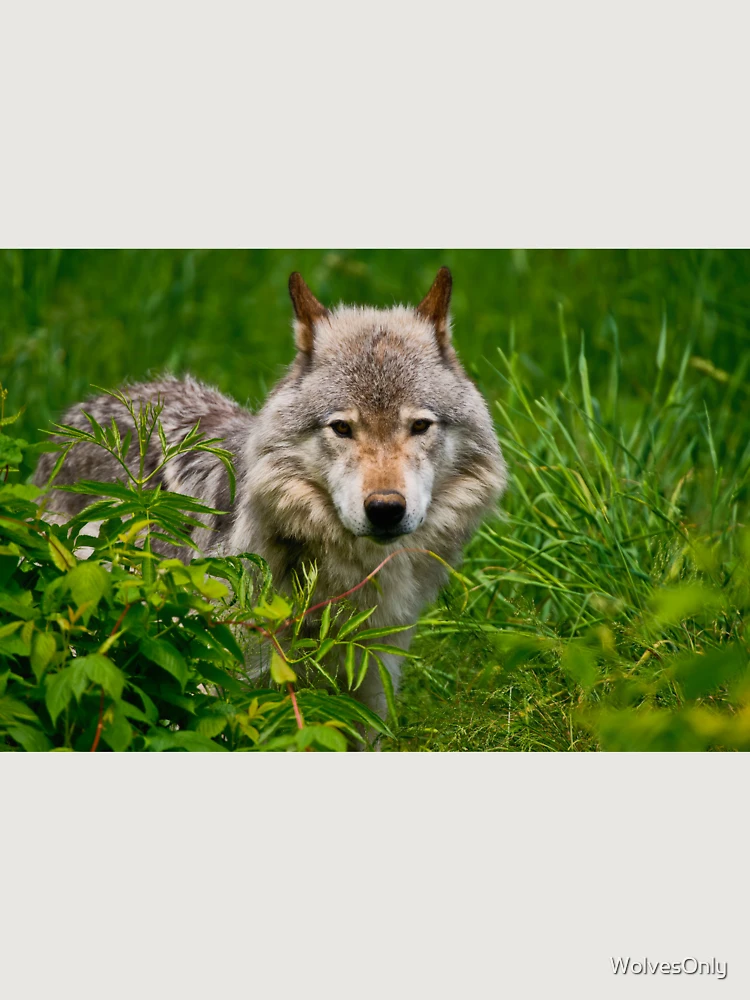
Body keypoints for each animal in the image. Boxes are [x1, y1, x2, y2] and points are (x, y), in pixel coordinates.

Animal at [34, 268, 507, 720]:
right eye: (342, 428)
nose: (385, 508)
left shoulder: (371, 688)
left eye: (419, 426)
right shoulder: (220, 687)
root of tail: (81, 413)